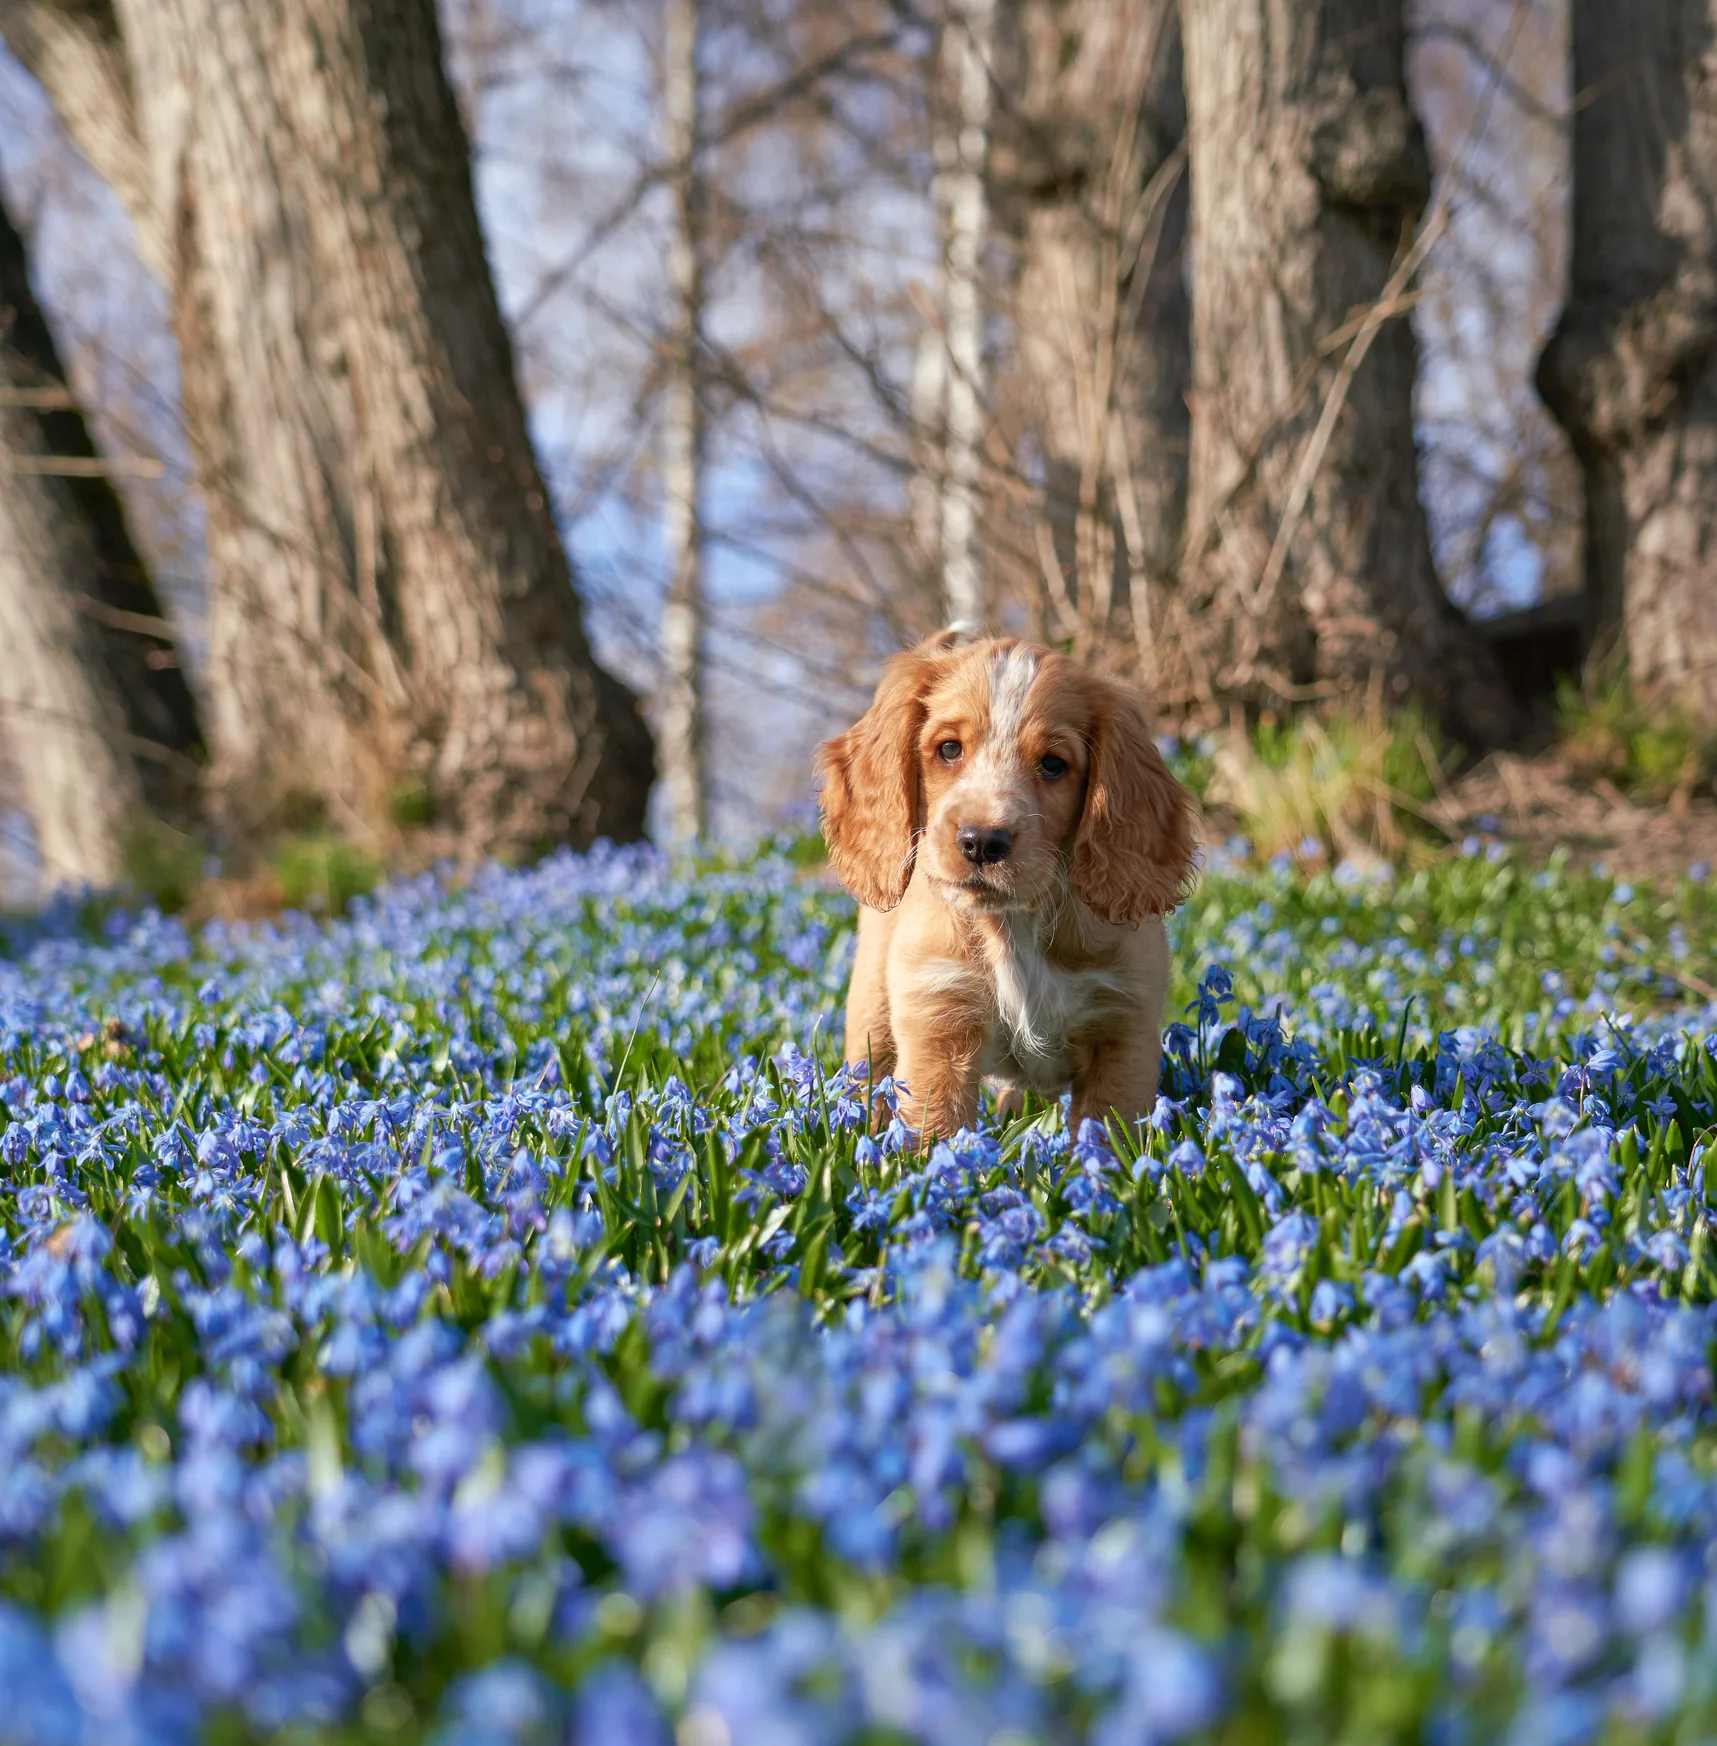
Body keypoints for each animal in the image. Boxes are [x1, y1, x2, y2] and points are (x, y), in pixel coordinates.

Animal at [817, 635, 1194, 1138]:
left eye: (1053, 764)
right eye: (949, 749)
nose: (981, 841)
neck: (1015, 924)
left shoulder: (1123, 1033)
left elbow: (1109, 1136)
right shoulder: (938, 1021)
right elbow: (936, 1132)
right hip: (872, 1010)